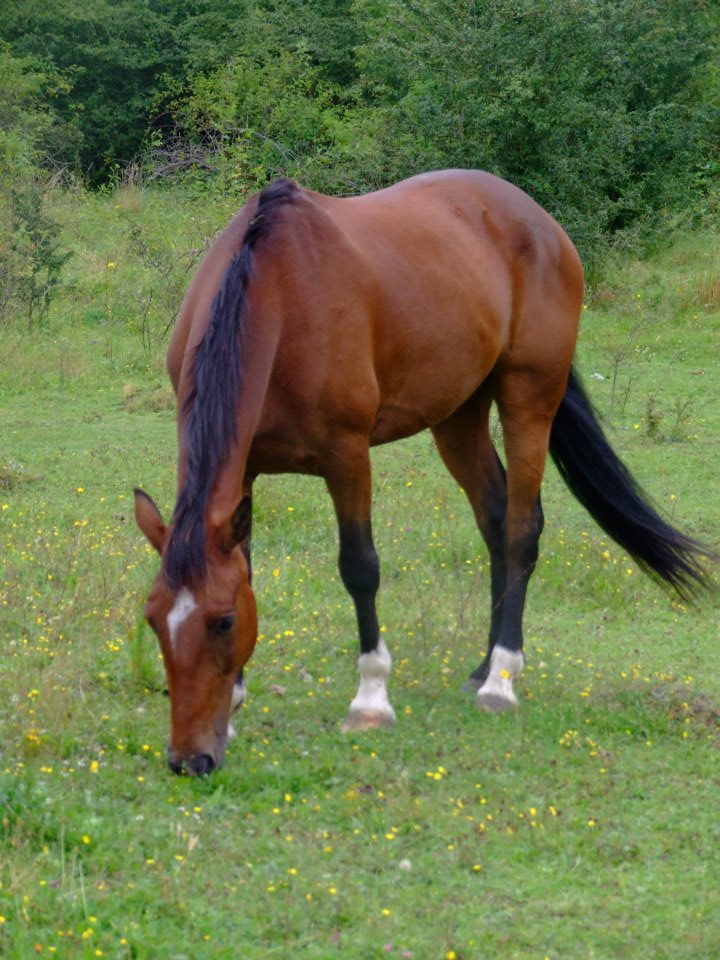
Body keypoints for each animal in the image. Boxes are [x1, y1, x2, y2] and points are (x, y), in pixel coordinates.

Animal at [132, 169, 704, 776]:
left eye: (221, 622)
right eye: (153, 620)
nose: (189, 759)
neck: (277, 292)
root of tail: (541, 221)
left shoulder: (347, 456)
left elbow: (360, 567)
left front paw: (370, 700)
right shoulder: (243, 476)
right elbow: (250, 569)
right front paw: (237, 706)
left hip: (529, 395)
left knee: (521, 529)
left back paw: (500, 680)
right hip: (458, 415)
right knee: (495, 520)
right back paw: (482, 667)